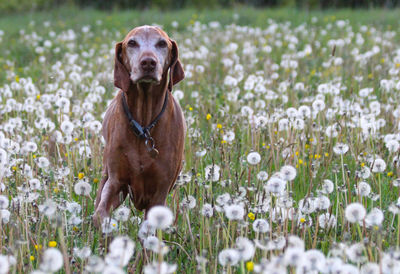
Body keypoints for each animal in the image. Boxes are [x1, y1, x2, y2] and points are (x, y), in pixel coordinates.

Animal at [94, 25, 186, 227]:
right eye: (132, 43)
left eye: (162, 43)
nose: (148, 62)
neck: (144, 124)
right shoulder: (115, 182)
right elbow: (100, 214)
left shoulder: (160, 192)